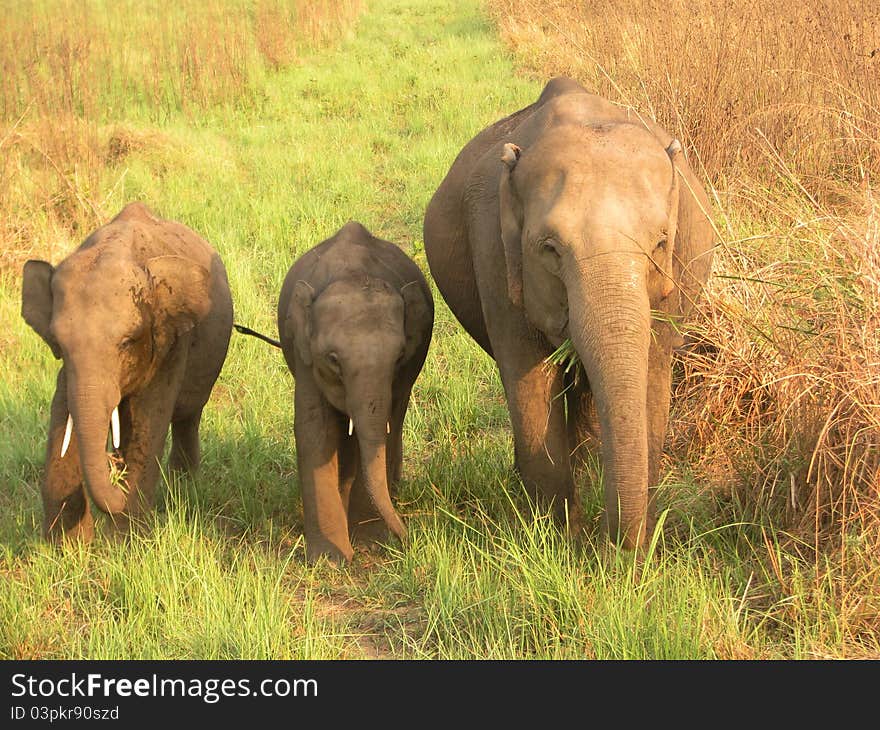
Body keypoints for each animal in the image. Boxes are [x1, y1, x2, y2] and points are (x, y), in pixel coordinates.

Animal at [21, 202, 234, 536]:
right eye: (58, 344)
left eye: (126, 342)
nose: (112, 464)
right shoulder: (71, 372)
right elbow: (63, 416)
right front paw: (66, 546)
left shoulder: (171, 342)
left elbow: (149, 418)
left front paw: (126, 540)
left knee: (187, 414)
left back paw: (183, 487)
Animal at [278, 219, 434, 560]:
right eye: (333, 359)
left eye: (399, 357)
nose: (410, 539)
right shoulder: (304, 353)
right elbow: (315, 431)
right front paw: (330, 560)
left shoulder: (402, 374)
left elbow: (385, 428)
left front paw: (370, 543)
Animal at [422, 78, 716, 544]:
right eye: (550, 249)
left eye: (660, 243)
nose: (611, 546)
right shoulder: (493, 254)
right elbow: (529, 377)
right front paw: (558, 539)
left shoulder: (680, 268)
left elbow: (653, 372)